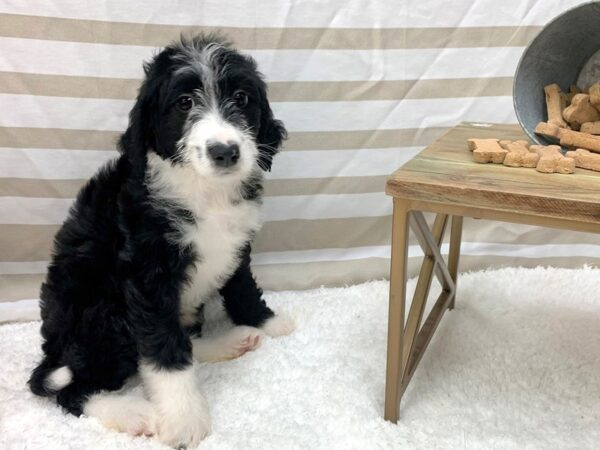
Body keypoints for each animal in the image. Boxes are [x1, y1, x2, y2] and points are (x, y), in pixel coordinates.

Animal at [29, 34, 294, 446]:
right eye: (184, 103)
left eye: (240, 98)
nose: (225, 151)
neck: (204, 192)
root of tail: (54, 353)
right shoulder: (147, 273)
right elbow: (162, 348)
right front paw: (184, 419)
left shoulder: (236, 245)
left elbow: (243, 288)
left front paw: (267, 322)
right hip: (101, 312)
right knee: (74, 391)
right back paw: (132, 412)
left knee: (180, 342)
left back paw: (228, 342)